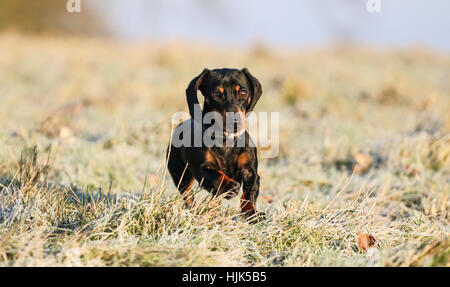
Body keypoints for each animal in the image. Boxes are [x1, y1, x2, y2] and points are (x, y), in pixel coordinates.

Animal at [166, 68, 264, 220]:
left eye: (243, 92)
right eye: (217, 94)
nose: (234, 123)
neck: (226, 140)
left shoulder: (250, 171)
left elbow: (249, 194)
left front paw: (251, 213)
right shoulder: (202, 169)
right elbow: (217, 177)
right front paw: (230, 187)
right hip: (180, 175)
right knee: (188, 196)